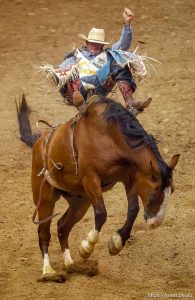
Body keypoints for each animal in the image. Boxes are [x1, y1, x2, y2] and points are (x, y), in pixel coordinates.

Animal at [16, 95, 180, 276]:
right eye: (154, 193)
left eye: (172, 190)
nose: (155, 223)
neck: (110, 136)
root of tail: (38, 142)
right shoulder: (91, 179)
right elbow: (101, 214)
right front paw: (86, 248)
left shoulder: (129, 178)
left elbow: (133, 210)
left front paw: (116, 243)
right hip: (45, 198)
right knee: (43, 232)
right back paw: (48, 271)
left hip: (80, 202)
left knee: (62, 226)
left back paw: (69, 263)